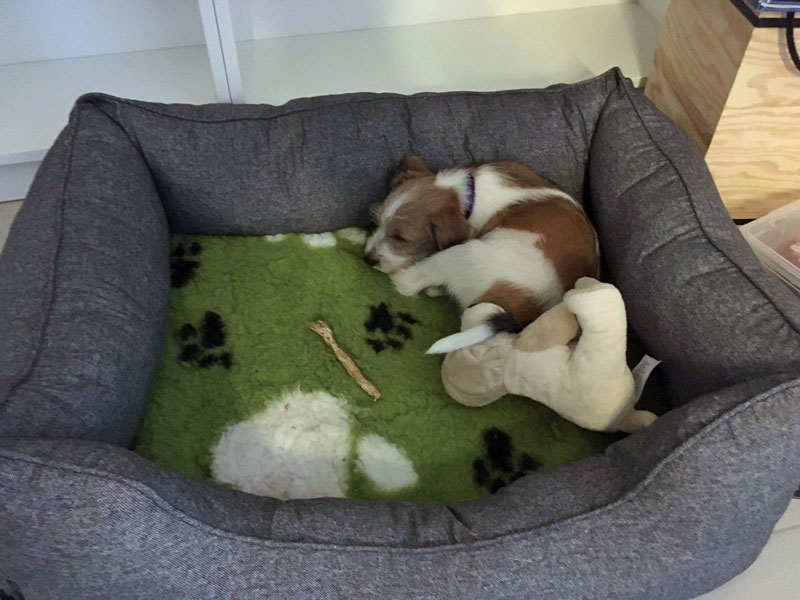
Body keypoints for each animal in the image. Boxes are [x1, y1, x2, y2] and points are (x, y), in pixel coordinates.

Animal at [364, 156, 600, 354]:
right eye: (377, 220)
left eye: (401, 239)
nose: (367, 259)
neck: (467, 195)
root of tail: (531, 314)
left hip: (465, 252)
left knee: (410, 284)